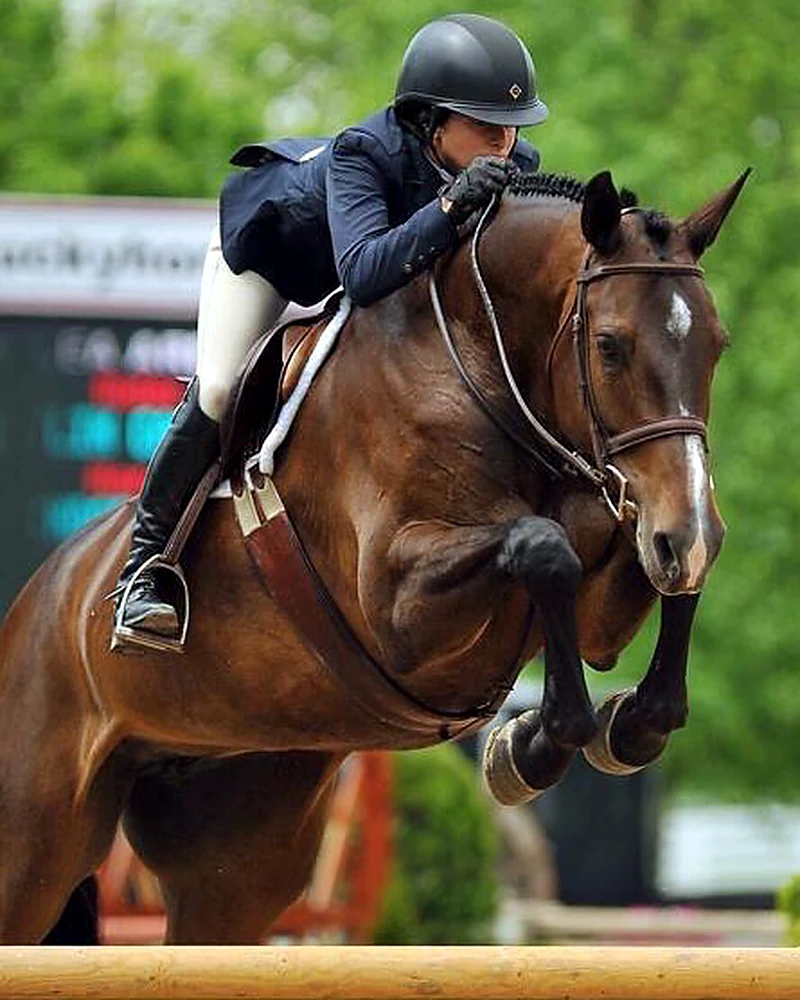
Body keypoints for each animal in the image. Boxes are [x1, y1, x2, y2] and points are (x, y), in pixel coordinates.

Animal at [0, 167, 747, 943]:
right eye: (609, 345)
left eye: (717, 345)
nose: (688, 527)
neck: (481, 364)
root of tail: (40, 594)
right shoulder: (399, 609)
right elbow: (543, 547)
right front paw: (533, 746)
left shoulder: (609, 591)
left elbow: (656, 583)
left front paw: (630, 722)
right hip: (33, 846)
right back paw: (147, 595)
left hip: (236, 853)